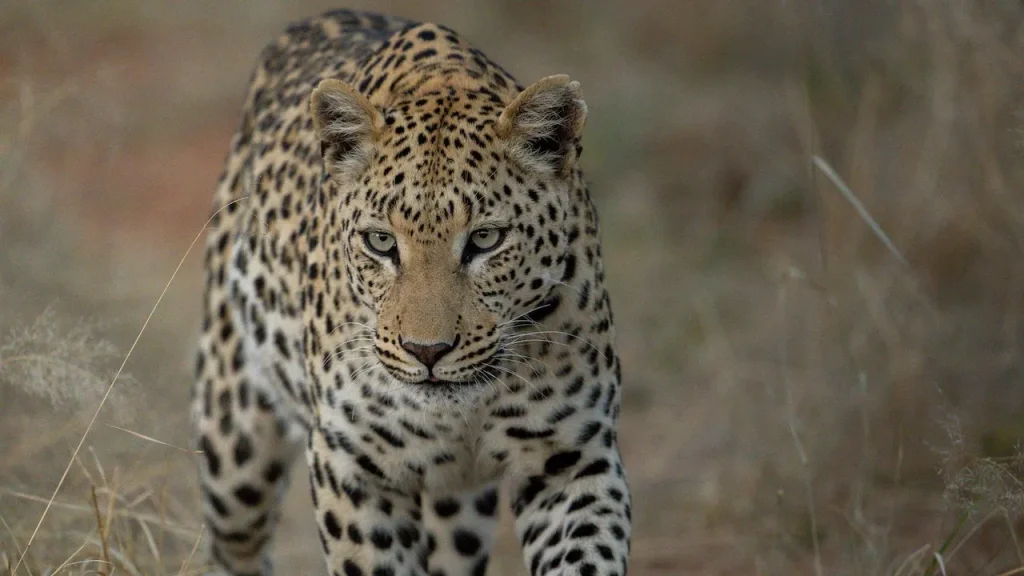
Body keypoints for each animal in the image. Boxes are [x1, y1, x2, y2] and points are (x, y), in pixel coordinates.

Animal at [191, 8, 631, 576]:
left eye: (485, 239)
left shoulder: (573, 461)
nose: (428, 352)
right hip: (232, 446)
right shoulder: (352, 469)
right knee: (236, 541)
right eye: (380, 242)